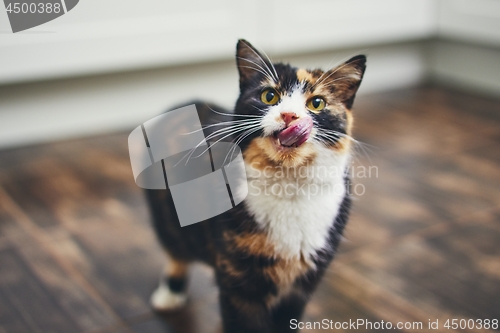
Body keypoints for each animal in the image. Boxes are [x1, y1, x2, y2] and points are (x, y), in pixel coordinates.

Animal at [146, 37, 366, 330]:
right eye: (269, 96)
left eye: (317, 103)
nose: (289, 116)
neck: (289, 184)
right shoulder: (238, 283)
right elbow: (244, 323)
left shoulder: (302, 284)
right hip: (166, 212)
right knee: (175, 248)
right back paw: (170, 293)